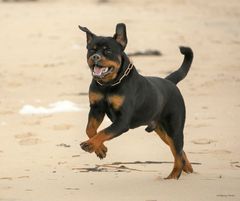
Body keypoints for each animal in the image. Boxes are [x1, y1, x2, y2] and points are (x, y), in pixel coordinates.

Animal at [79, 23, 193, 179]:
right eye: (92, 49)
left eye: (107, 50)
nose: (95, 57)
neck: (109, 85)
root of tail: (170, 82)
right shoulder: (96, 109)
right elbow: (90, 129)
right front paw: (100, 149)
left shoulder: (122, 121)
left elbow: (104, 132)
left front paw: (90, 145)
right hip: (163, 131)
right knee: (179, 151)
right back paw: (188, 169)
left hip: (174, 128)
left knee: (178, 151)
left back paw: (173, 176)